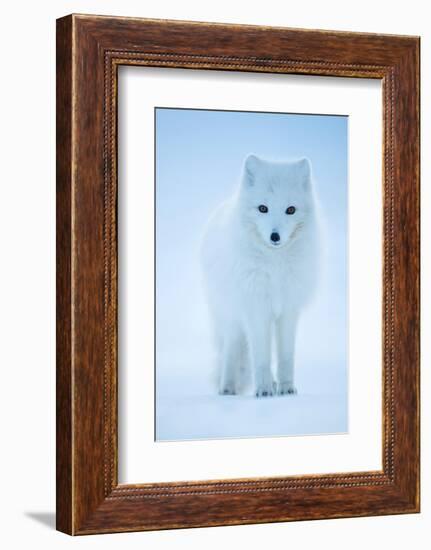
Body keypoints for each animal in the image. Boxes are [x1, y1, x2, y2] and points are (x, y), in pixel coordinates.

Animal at [201, 153, 318, 398]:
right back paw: (227, 388)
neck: (275, 266)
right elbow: (261, 358)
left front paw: (286, 388)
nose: (275, 236)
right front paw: (263, 390)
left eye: (290, 210)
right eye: (263, 208)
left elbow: (285, 357)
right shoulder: (256, 310)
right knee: (231, 350)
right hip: (231, 316)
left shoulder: (288, 311)